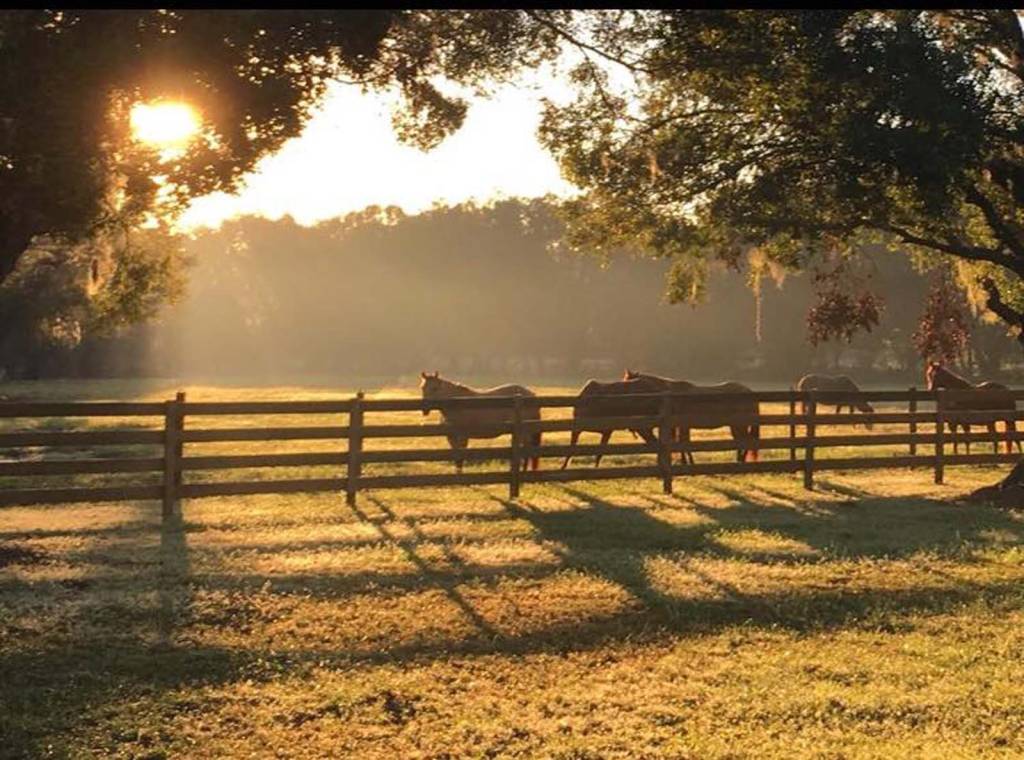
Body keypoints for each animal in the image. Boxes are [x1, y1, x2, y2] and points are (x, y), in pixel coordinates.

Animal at [624, 370, 760, 464]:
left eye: (628, 383)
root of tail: (748, 391)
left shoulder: (682, 426)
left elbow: (683, 443)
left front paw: (687, 462)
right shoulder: (682, 426)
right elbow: (683, 443)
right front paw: (687, 462)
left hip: (740, 425)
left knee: (746, 442)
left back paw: (741, 460)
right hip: (735, 426)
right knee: (740, 442)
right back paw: (738, 460)